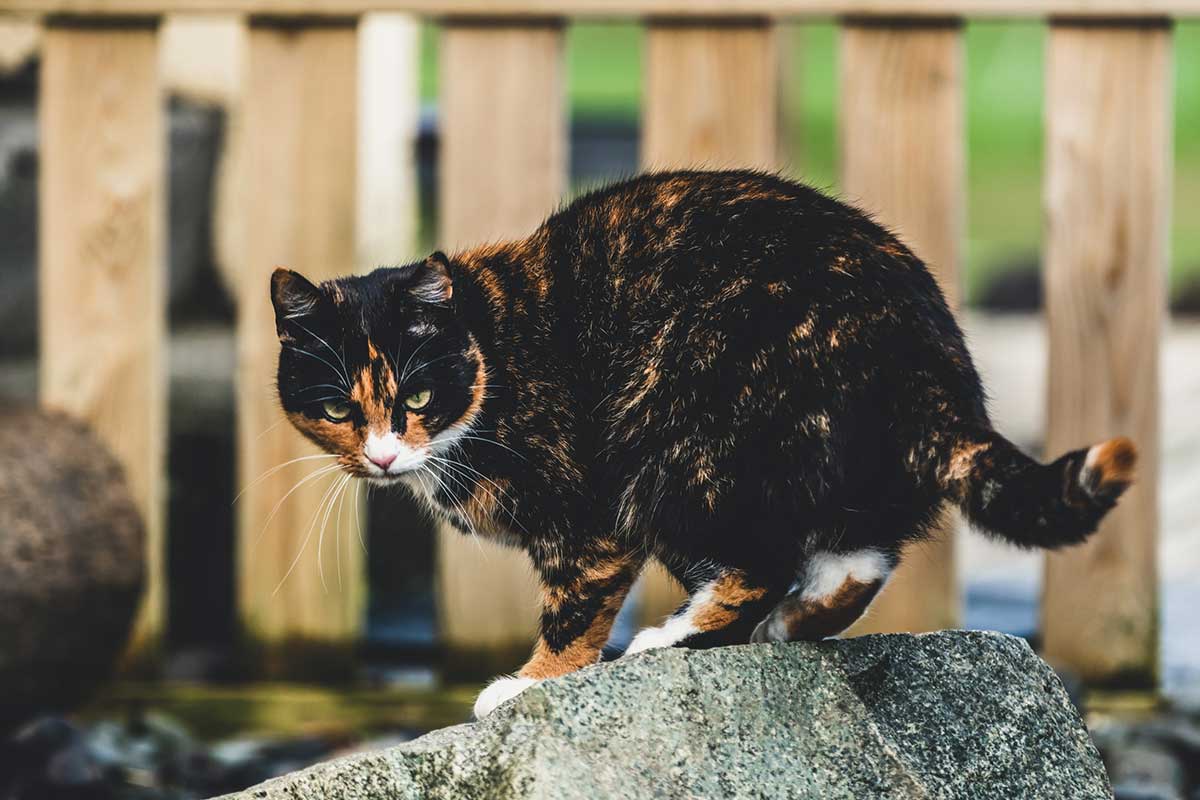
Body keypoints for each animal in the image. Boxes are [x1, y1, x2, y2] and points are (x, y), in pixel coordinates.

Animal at [270, 169, 1132, 719]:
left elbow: (575, 607)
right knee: (851, 560)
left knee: (763, 560)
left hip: (677, 447)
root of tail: (929, 364)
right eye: (339, 408)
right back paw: (777, 625)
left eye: (416, 396)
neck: (491, 350)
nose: (382, 456)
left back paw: (670, 636)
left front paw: (528, 683)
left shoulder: (585, 514)